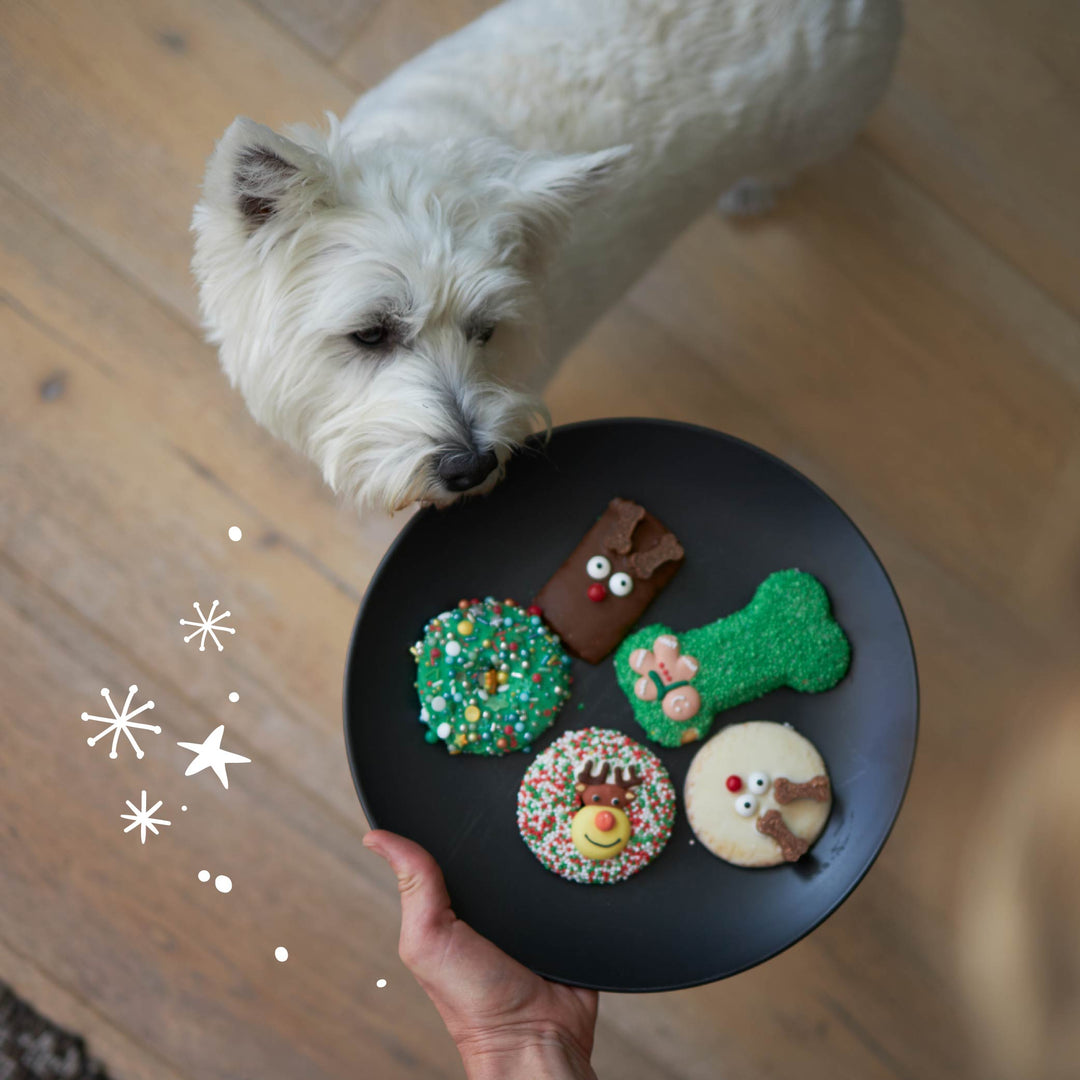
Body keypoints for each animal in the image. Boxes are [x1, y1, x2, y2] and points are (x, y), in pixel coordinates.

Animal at [190, 0, 898, 514]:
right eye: (370, 333)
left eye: (486, 331)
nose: (471, 468)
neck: (427, 148)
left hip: (823, 121)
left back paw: (750, 192)